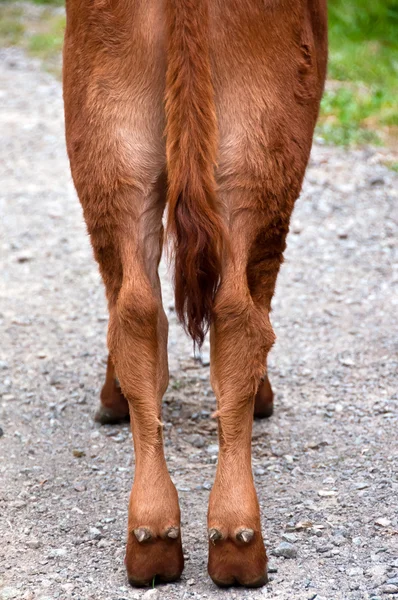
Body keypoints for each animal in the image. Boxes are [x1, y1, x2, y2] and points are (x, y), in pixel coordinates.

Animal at [63, 0, 326, 592]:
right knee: (238, 311)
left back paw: (156, 535)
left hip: (113, 146)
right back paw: (234, 541)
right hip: (260, 153)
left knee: (138, 309)